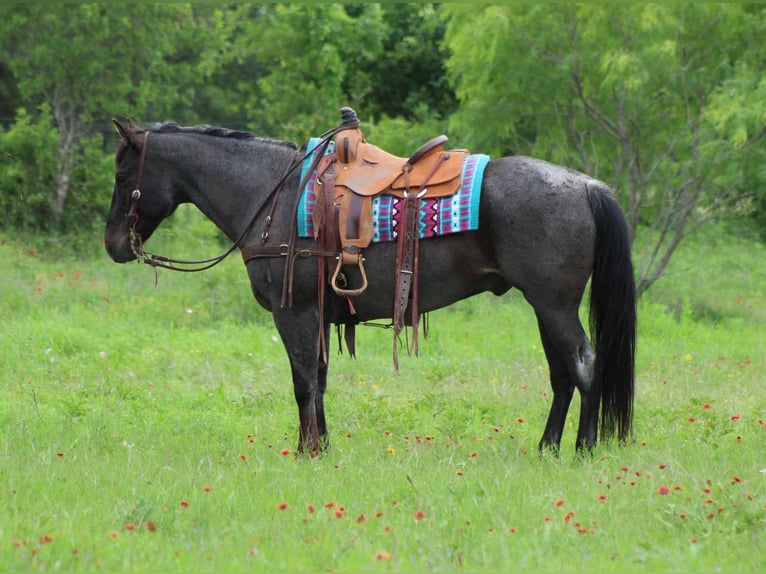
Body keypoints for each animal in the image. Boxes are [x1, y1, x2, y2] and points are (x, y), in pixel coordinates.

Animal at [105, 114, 636, 457]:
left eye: (122, 174)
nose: (112, 244)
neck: (272, 194)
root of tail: (586, 185)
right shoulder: (318, 315)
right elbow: (319, 379)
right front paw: (321, 444)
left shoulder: (294, 312)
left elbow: (302, 382)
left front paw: (308, 451)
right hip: (547, 307)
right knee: (562, 375)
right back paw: (547, 447)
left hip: (554, 305)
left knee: (585, 366)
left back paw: (584, 449)